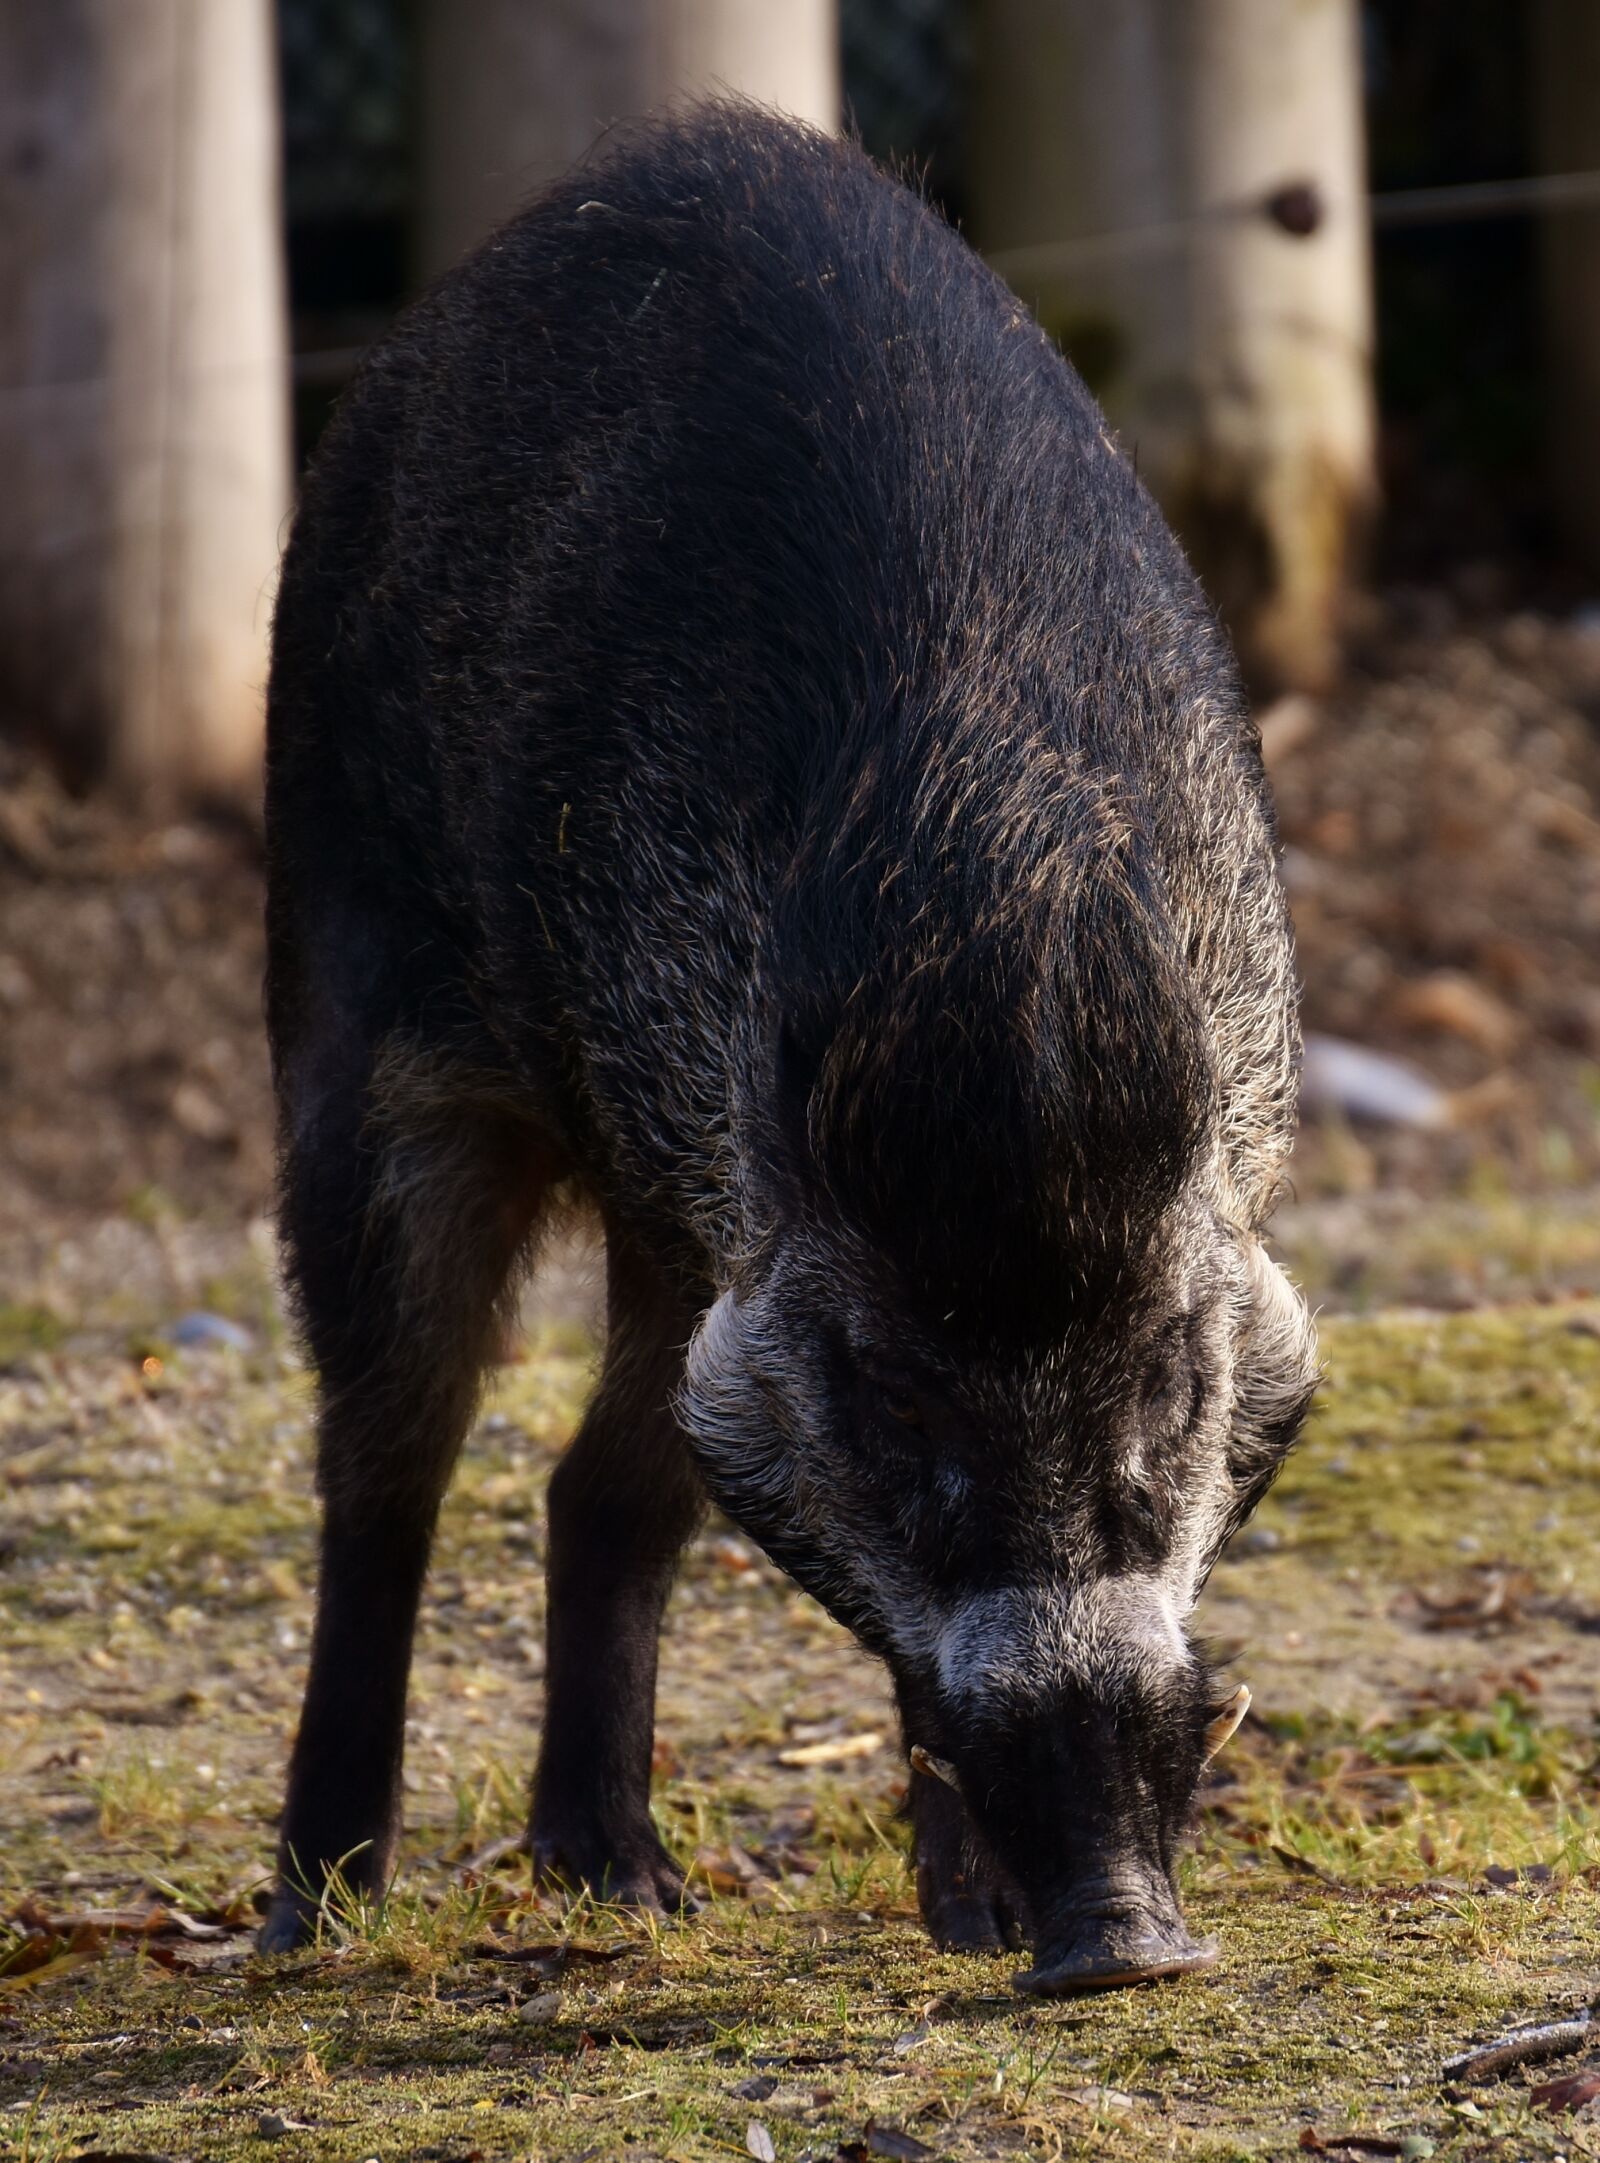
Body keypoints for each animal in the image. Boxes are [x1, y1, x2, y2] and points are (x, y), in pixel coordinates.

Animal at [258, 101, 1319, 1991]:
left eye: (1170, 1367)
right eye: (894, 1387)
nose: (1123, 1940)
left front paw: (978, 1932)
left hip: (664, 1218)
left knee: (599, 1483)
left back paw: (623, 1885)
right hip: (351, 1020)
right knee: (387, 1461)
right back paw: (317, 1910)